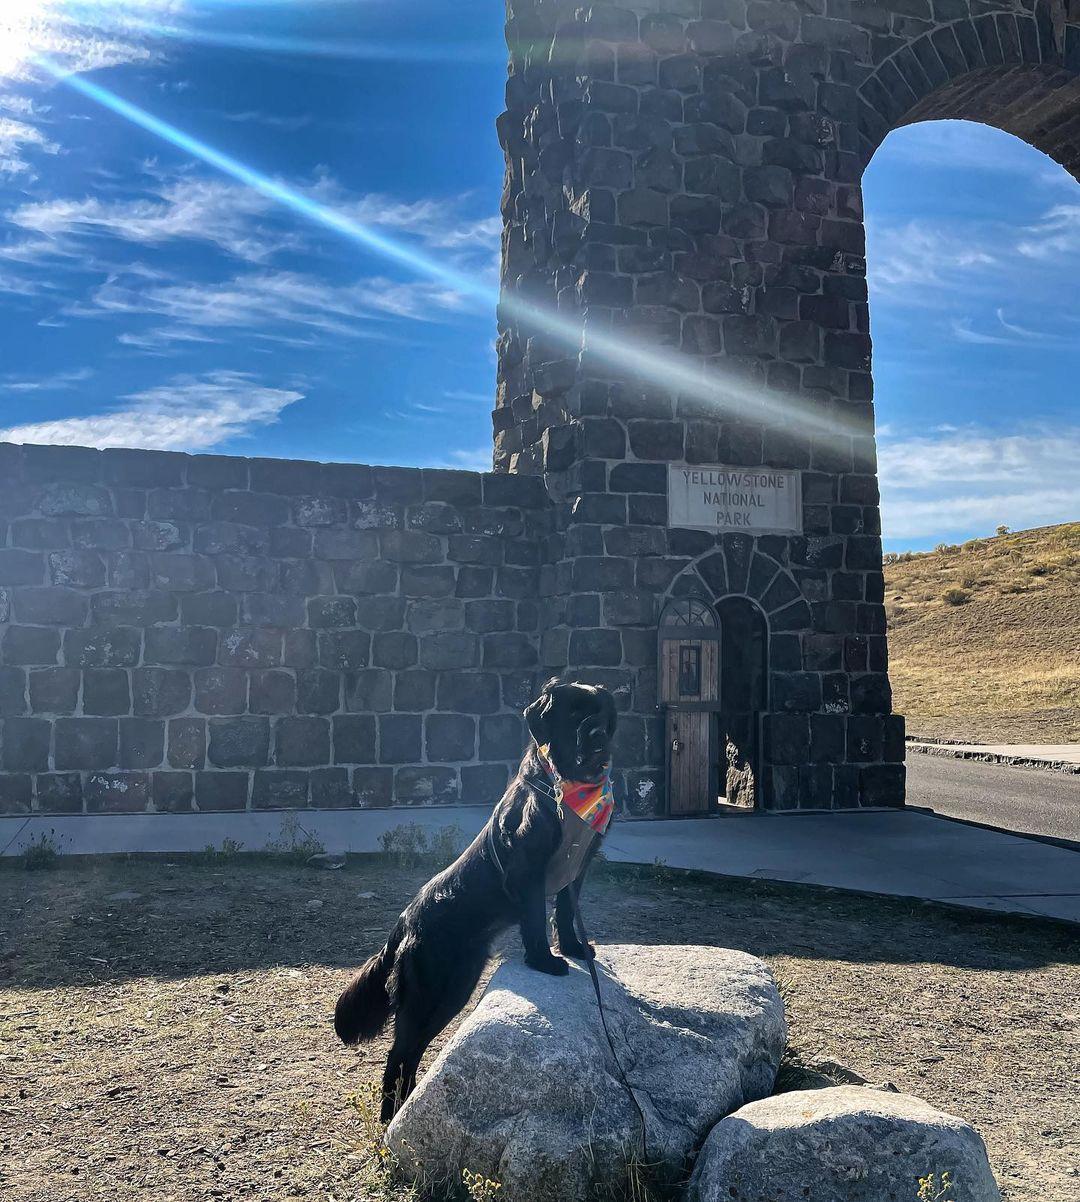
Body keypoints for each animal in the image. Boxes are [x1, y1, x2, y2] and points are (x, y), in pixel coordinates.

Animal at [333, 682, 615, 1120]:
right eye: (574, 714)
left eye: (603, 713)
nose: (600, 737)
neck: (566, 786)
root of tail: (405, 920)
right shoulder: (528, 868)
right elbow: (536, 920)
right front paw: (544, 961)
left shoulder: (577, 866)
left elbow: (566, 912)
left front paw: (573, 948)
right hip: (430, 991)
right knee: (398, 1053)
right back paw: (390, 1116)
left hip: (456, 986)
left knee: (411, 1052)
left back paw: (405, 1105)